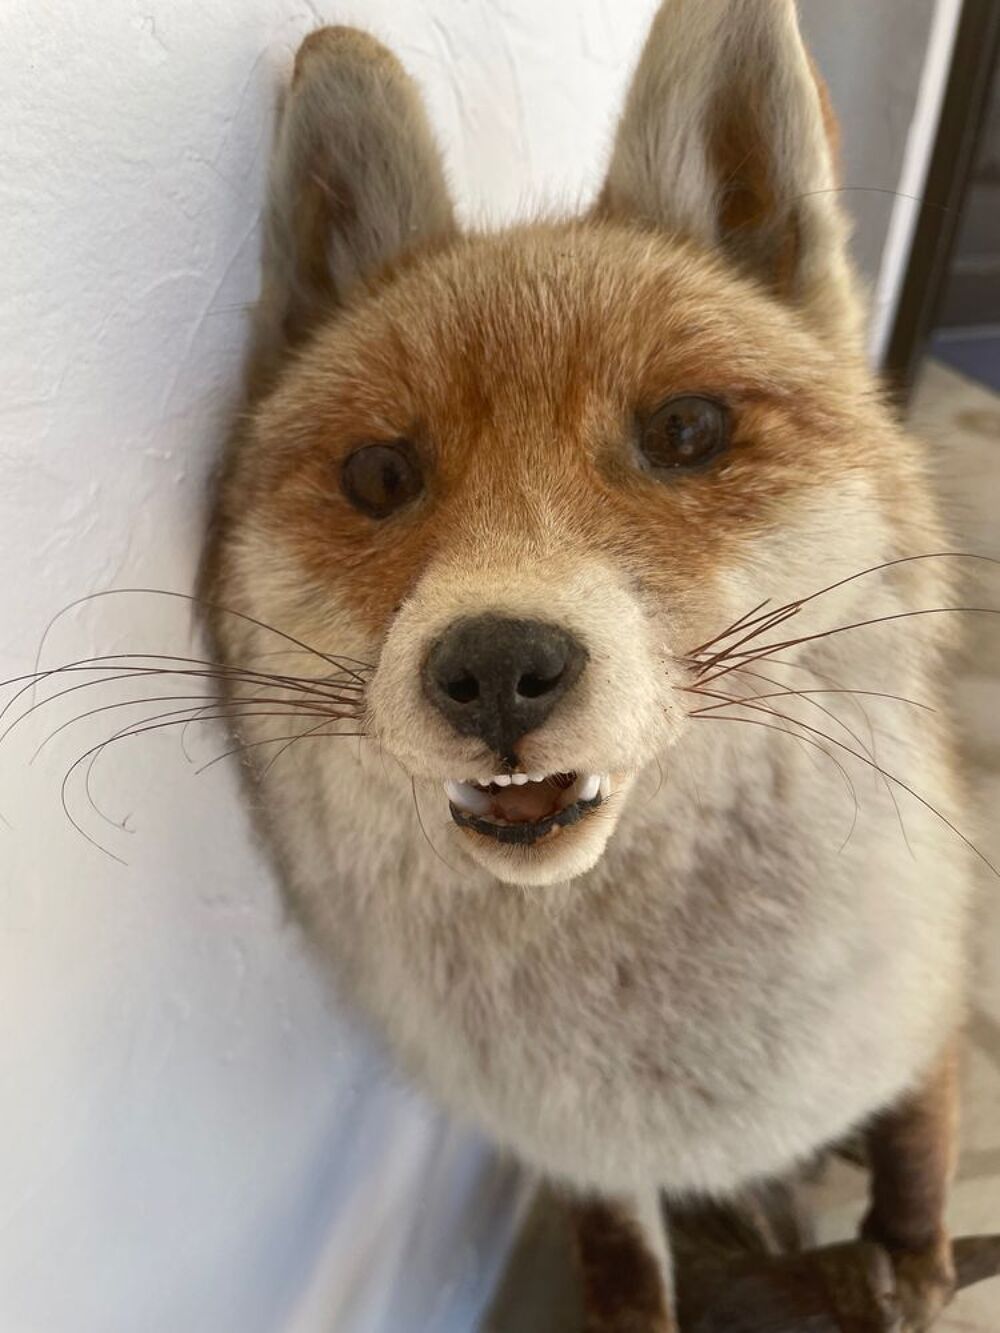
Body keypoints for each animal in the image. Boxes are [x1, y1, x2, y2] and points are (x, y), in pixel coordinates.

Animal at [201, 3, 976, 1329]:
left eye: (685, 431)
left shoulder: (921, 1015)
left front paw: (913, 1255)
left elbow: (919, 1137)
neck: (667, 1072)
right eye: (378, 475)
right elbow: (621, 1259)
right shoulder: (583, 1151)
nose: (497, 667)